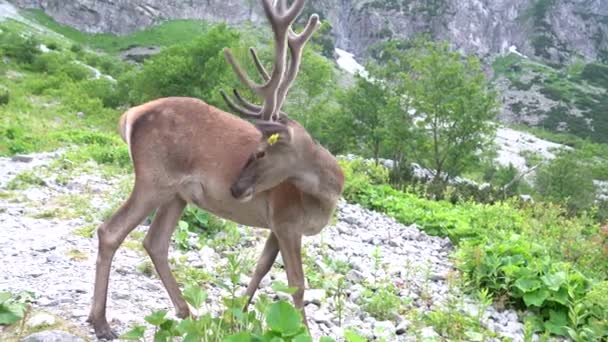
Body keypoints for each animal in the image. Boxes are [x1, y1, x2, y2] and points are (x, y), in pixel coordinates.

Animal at [86, 0, 344, 340]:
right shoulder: (285, 219)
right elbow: (297, 285)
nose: (235, 188)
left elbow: (260, 269)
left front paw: (236, 317)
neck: (325, 197)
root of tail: (130, 115)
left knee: (155, 242)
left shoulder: (278, 226)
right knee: (111, 231)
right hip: (154, 178)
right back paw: (101, 321)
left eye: (261, 152)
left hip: (177, 193)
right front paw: (303, 331)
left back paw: (186, 313)